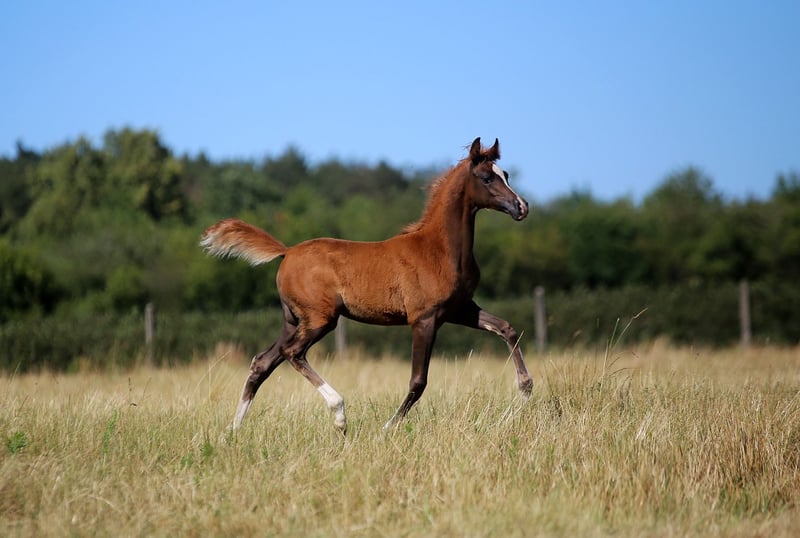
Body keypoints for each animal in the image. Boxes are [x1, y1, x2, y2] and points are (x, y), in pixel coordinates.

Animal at [200, 137, 533, 433]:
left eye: (507, 174)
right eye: (487, 177)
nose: (522, 207)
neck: (439, 249)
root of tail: (287, 251)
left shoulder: (460, 309)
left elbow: (506, 328)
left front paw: (525, 391)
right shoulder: (424, 319)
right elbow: (418, 381)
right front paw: (387, 428)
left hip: (293, 320)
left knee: (263, 362)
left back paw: (233, 429)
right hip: (321, 319)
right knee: (292, 352)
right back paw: (339, 414)